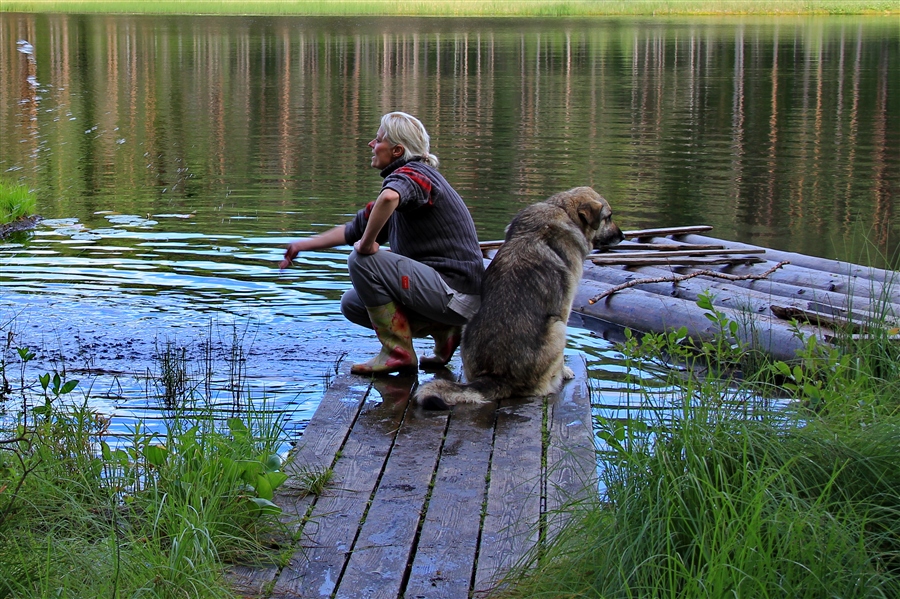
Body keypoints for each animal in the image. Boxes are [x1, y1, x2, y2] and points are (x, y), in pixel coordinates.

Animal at [412, 188, 624, 410]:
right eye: (608, 217)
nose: (623, 235)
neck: (561, 209)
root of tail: (496, 376)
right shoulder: (564, 306)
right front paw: (565, 370)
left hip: (468, 326)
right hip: (557, 327)